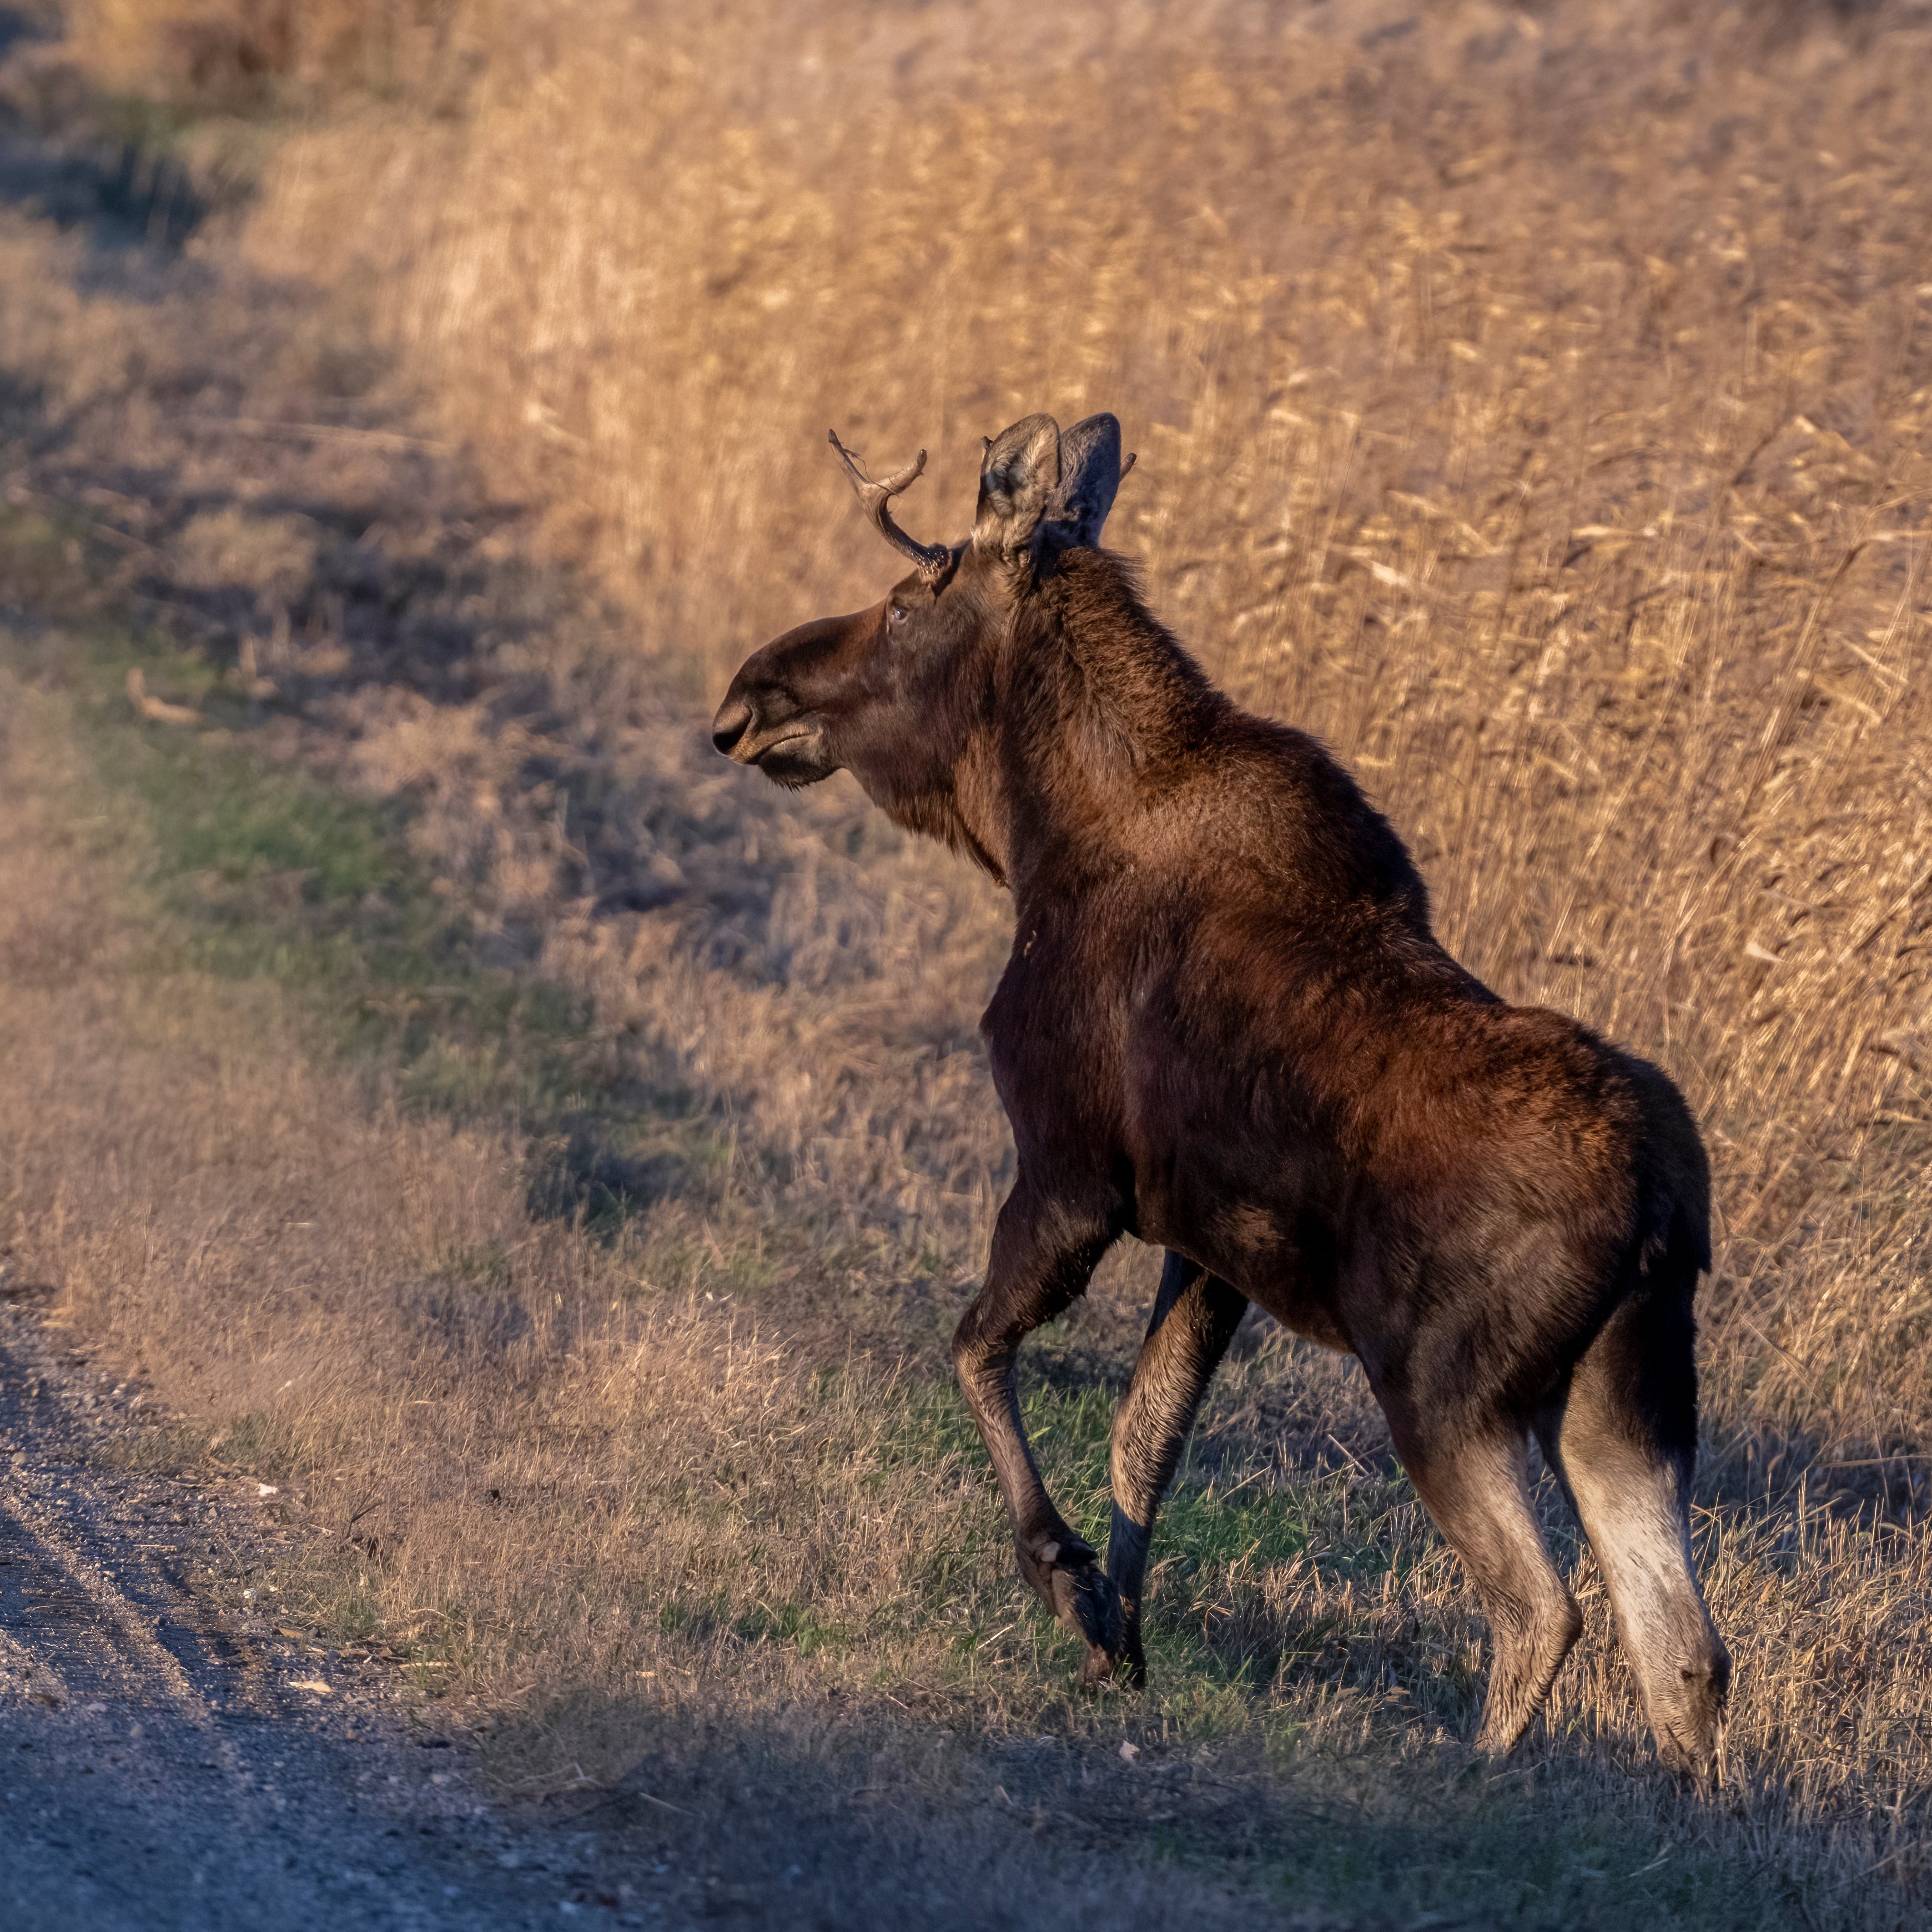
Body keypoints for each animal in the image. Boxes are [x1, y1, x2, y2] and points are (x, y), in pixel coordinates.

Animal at [715, 411, 1739, 1777]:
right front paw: (1120, 1646)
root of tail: (1664, 1208)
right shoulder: (1206, 1248)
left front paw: (1072, 1586)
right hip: (1629, 1395)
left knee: (1545, 1607)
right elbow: (1144, 1438)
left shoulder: (1070, 1171)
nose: (746, 698)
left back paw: (1470, 1782)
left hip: (1445, 1389)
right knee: (1682, 1645)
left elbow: (977, 1350)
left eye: (899, 603)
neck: (1034, 833)